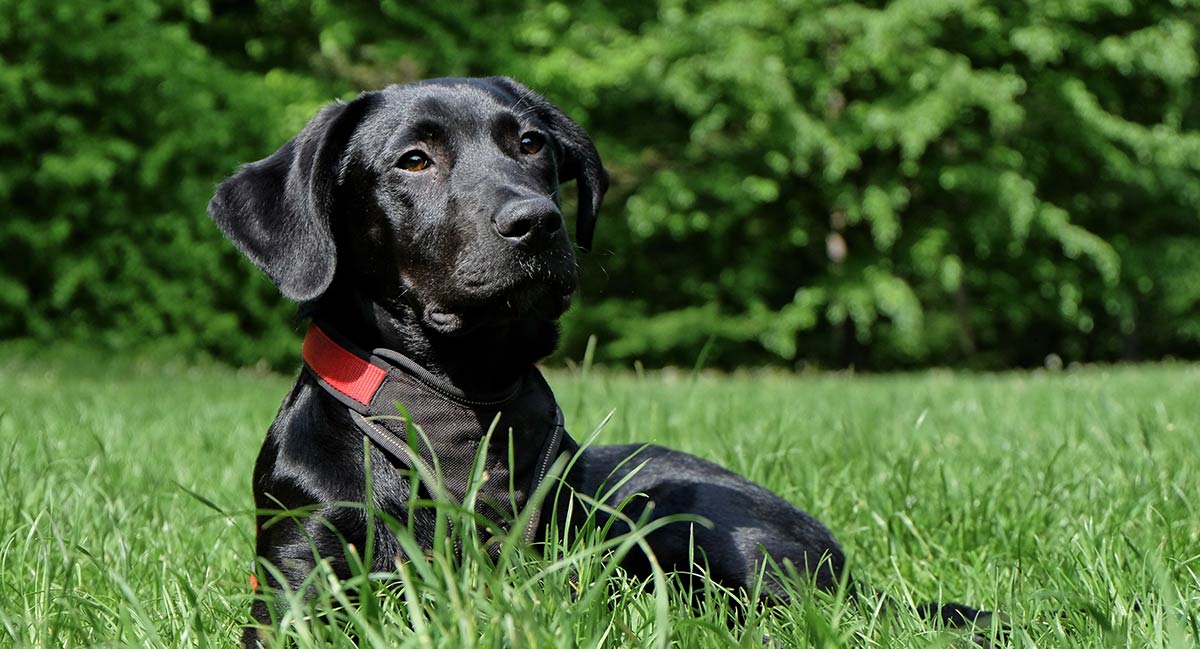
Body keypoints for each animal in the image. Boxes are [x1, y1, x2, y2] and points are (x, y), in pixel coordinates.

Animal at [208, 75, 993, 643]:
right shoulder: (299, 573)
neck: (458, 404)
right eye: (414, 160)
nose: (536, 222)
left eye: (531, 144)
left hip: (688, 518)